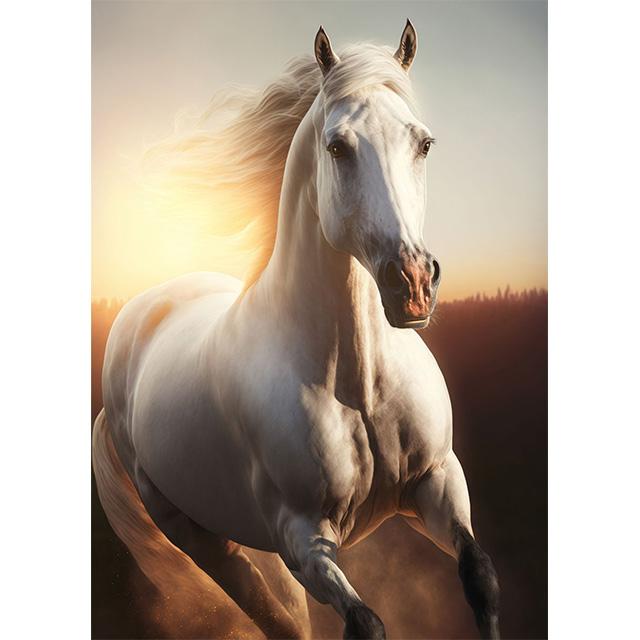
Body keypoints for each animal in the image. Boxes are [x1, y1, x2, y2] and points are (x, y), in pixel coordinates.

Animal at [92, 21, 501, 640]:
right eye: (337, 147)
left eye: (423, 143)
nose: (411, 283)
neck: (357, 381)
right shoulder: (303, 539)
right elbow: (366, 623)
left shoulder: (436, 481)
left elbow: (479, 577)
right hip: (191, 530)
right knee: (264, 607)